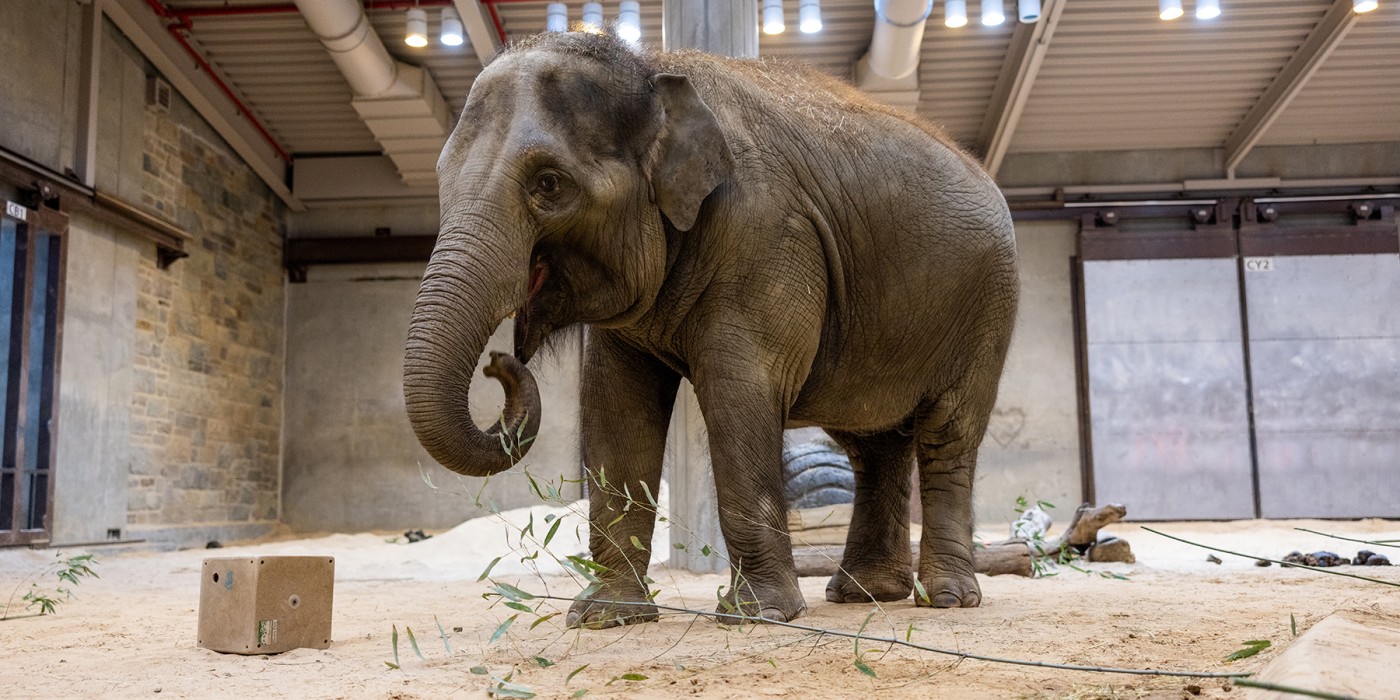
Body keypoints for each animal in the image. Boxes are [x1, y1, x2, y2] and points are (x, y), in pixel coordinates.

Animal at [406, 31, 1019, 630]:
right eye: (438, 177)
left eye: (549, 184)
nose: (497, 363)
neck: (649, 70)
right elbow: (616, 408)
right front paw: (604, 617)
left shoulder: (766, 234)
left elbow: (739, 391)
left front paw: (758, 617)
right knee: (872, 445)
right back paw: (862, 595)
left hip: (988, 306)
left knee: (947, 433)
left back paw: (945, 600)